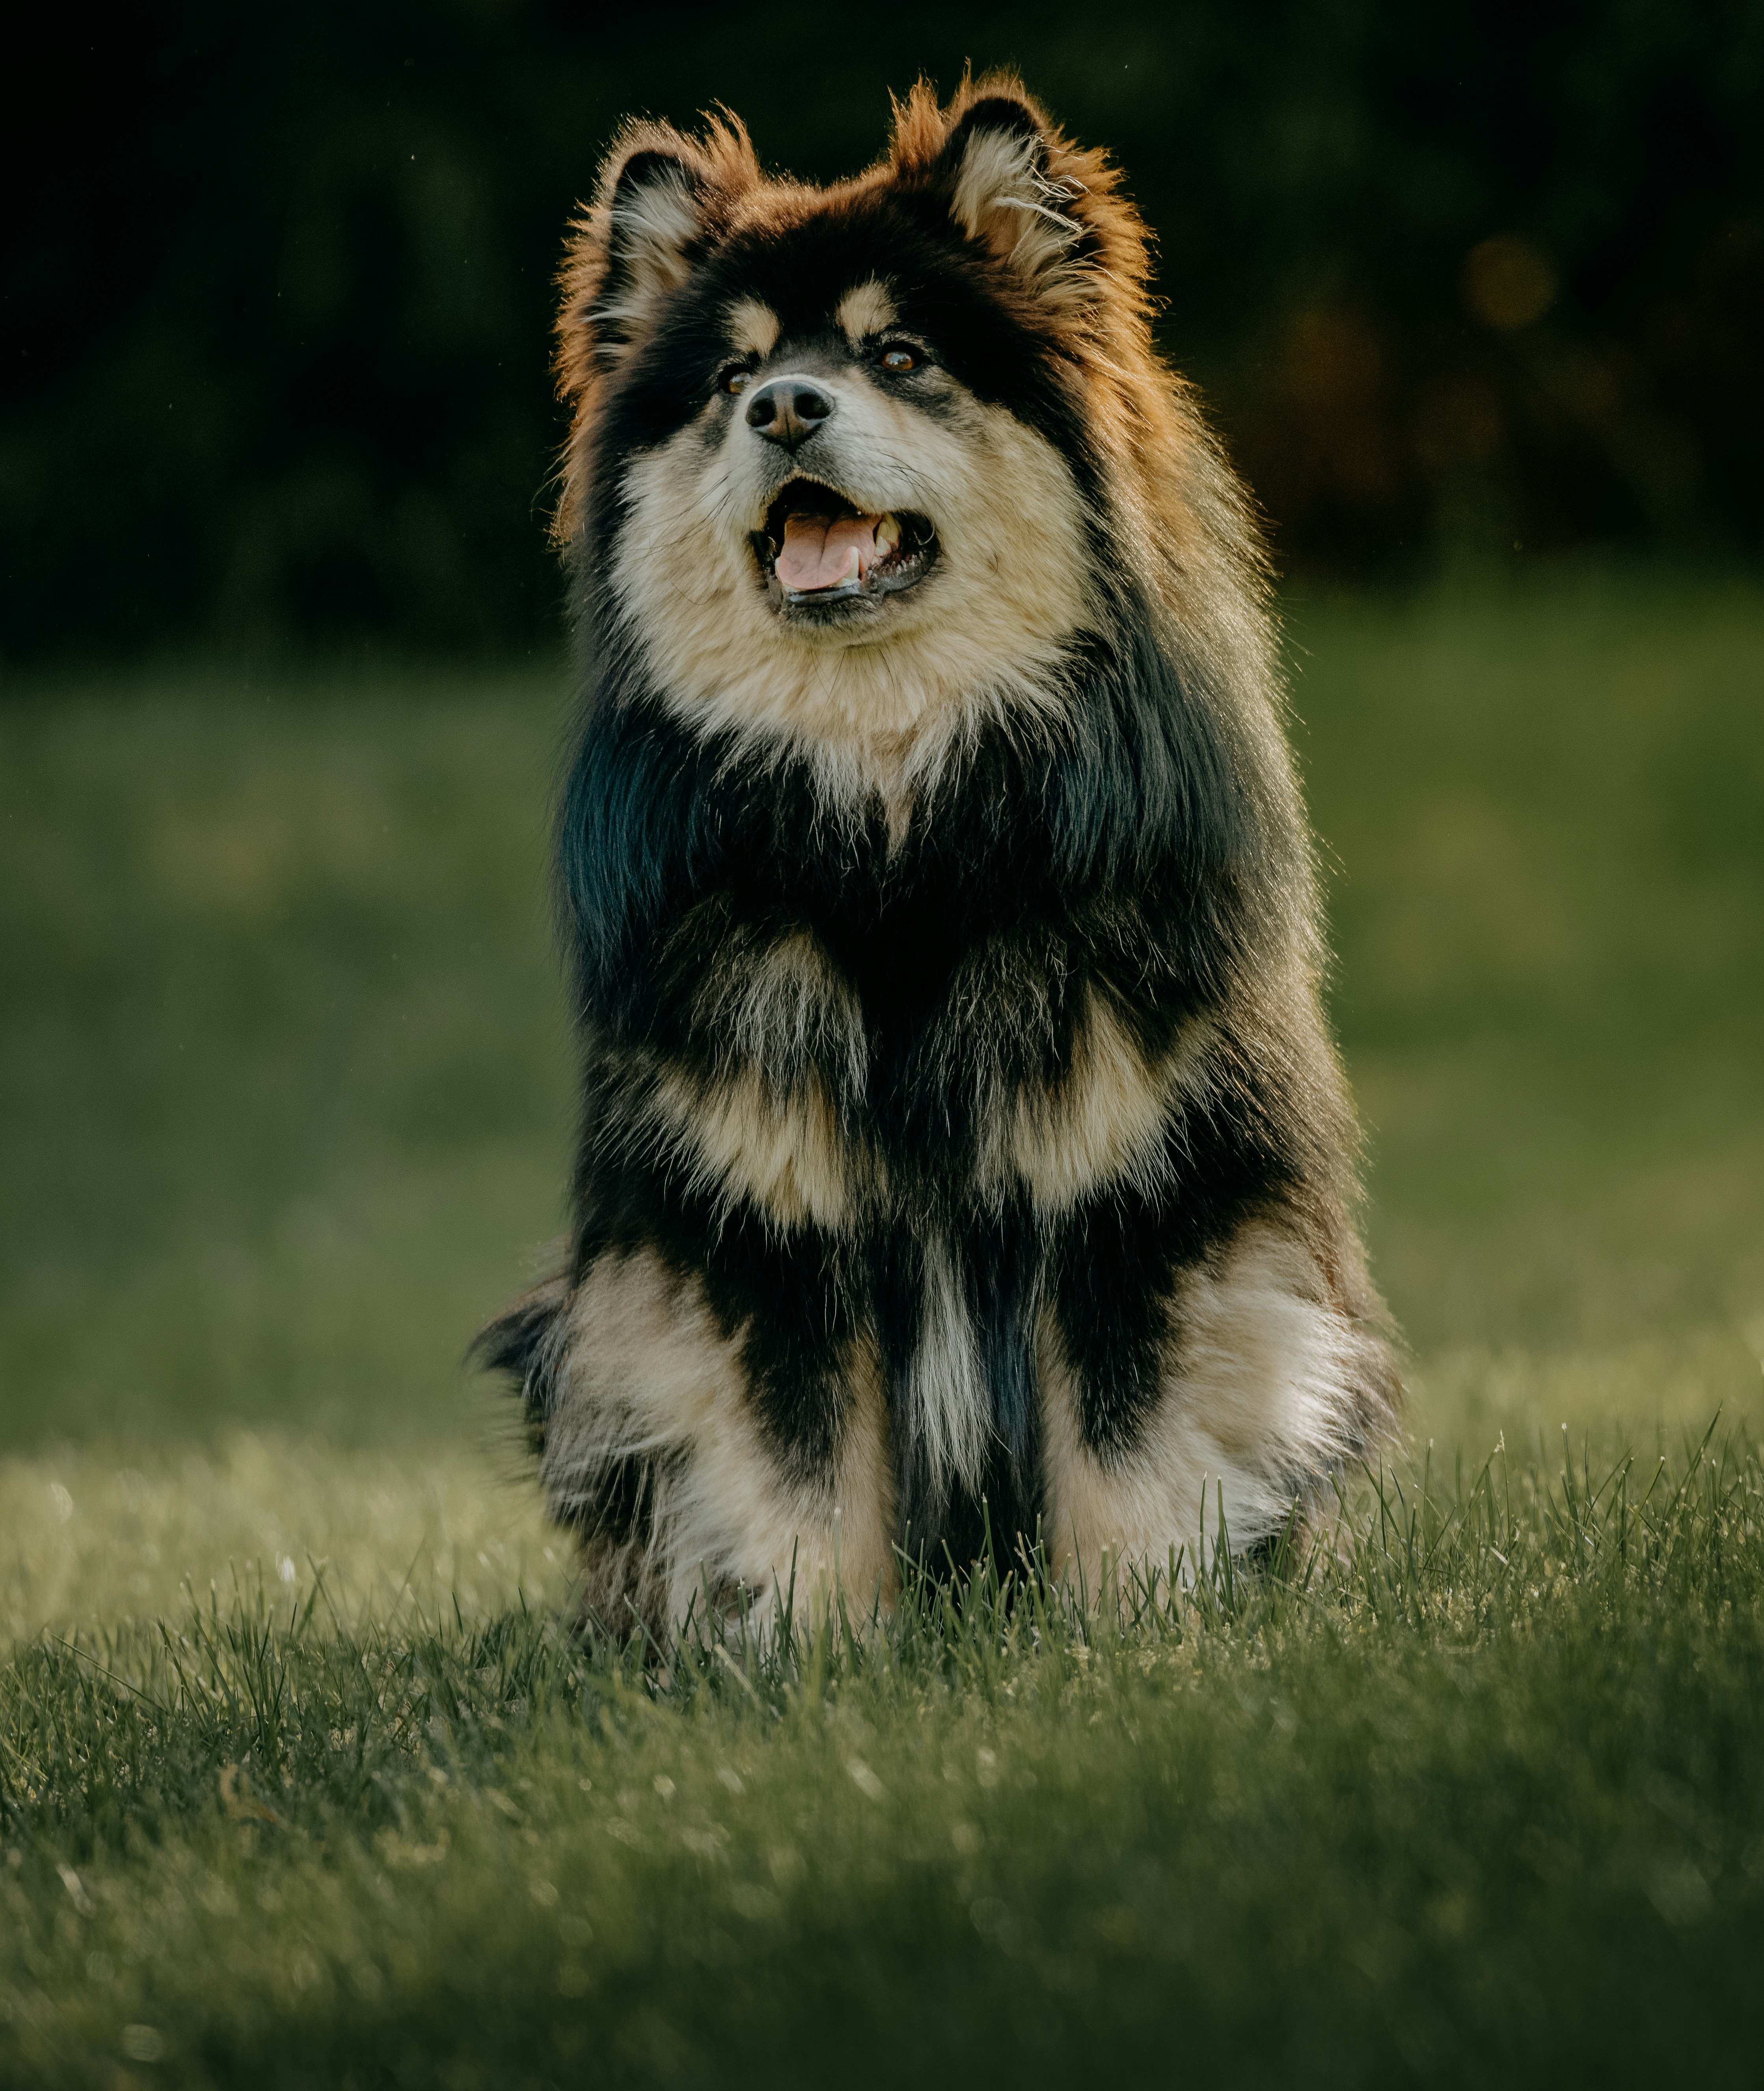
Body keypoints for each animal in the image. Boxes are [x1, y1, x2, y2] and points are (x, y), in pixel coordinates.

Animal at [474, 73, 1396, 1639]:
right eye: (730, 379)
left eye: (896, 356)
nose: (785, 407)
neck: (895, 816)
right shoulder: (761, 1213)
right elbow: (797, 1470)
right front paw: (813, 1657)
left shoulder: (1132, 1186)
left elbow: (1123, 1446)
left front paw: (1131, 1641)